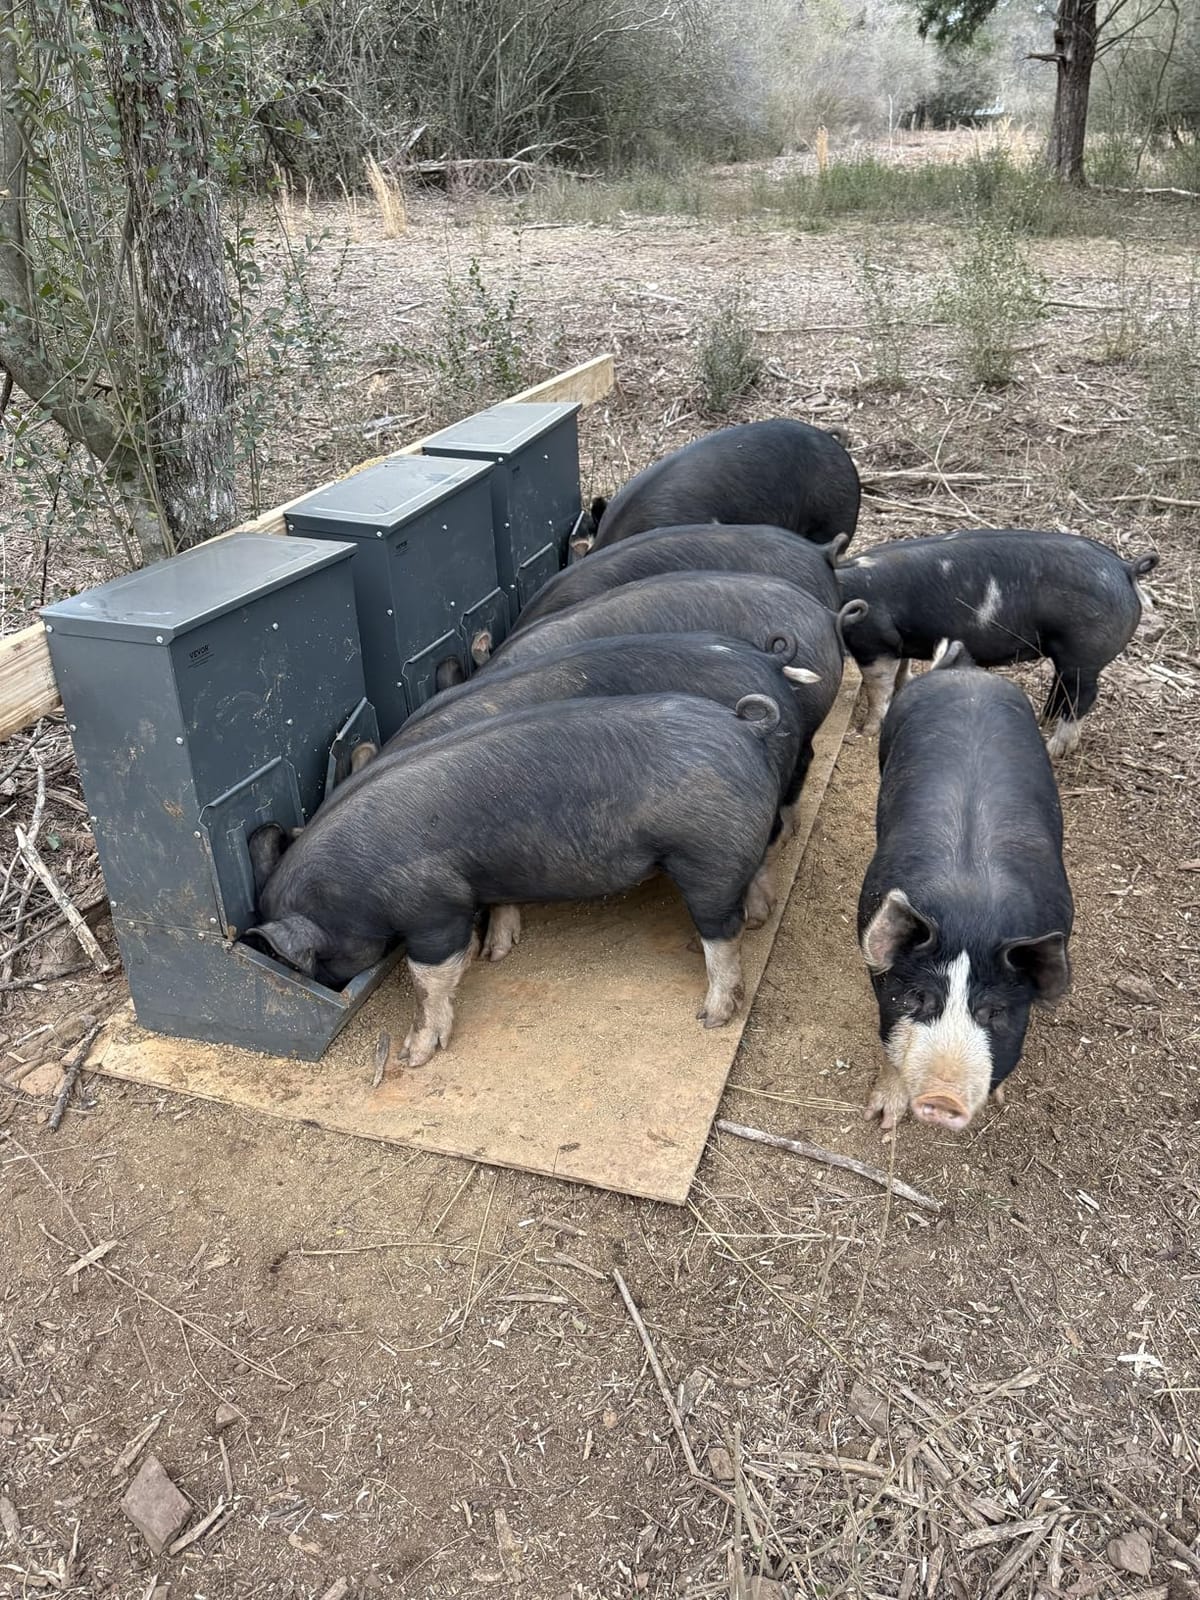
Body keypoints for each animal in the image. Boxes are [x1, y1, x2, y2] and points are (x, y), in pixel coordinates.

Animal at [247, 693, 788, 1064]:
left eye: (309, 959)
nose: (329, 982)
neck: (348, 890)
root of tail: (744, 728)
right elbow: (499, 905)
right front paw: (496, 953)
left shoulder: (434, 911)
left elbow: (427, 980)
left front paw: (413, 1055)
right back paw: (758, 921)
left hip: (705, 858)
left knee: (722, 933)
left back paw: (710, 1018)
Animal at [836, 527, 1159, 756]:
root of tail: (1125, 569)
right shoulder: (899, 640)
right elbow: (902, 670)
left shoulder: (874, 644)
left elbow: (878, 688)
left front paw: (865, 731)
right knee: (1064, 687)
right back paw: (1045, 720)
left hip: (1084, 650)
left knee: (1084, 695)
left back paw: (1054, 749)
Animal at [857, 640, 1074, 1134]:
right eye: (918, 998)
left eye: (993, 1011)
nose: (942, 1099)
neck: (972, 916)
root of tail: (964, 669)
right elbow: (888, 1043)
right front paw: (882, 1120)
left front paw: (999, 1098)